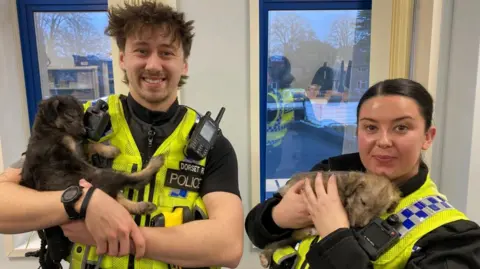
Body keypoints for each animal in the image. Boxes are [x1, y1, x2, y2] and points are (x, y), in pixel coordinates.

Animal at [20, 94, 164, 268]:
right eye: (70, 115)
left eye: (82, 116)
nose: (84, 132)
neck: (48, 127)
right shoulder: (71, 155)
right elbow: (86, 148)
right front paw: (109, 150)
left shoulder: (77, 148)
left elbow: (89, 144)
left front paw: (110, 150)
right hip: (105, 176)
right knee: (131, 180)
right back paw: (154, 164)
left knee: (120, 200)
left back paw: (143, 206)